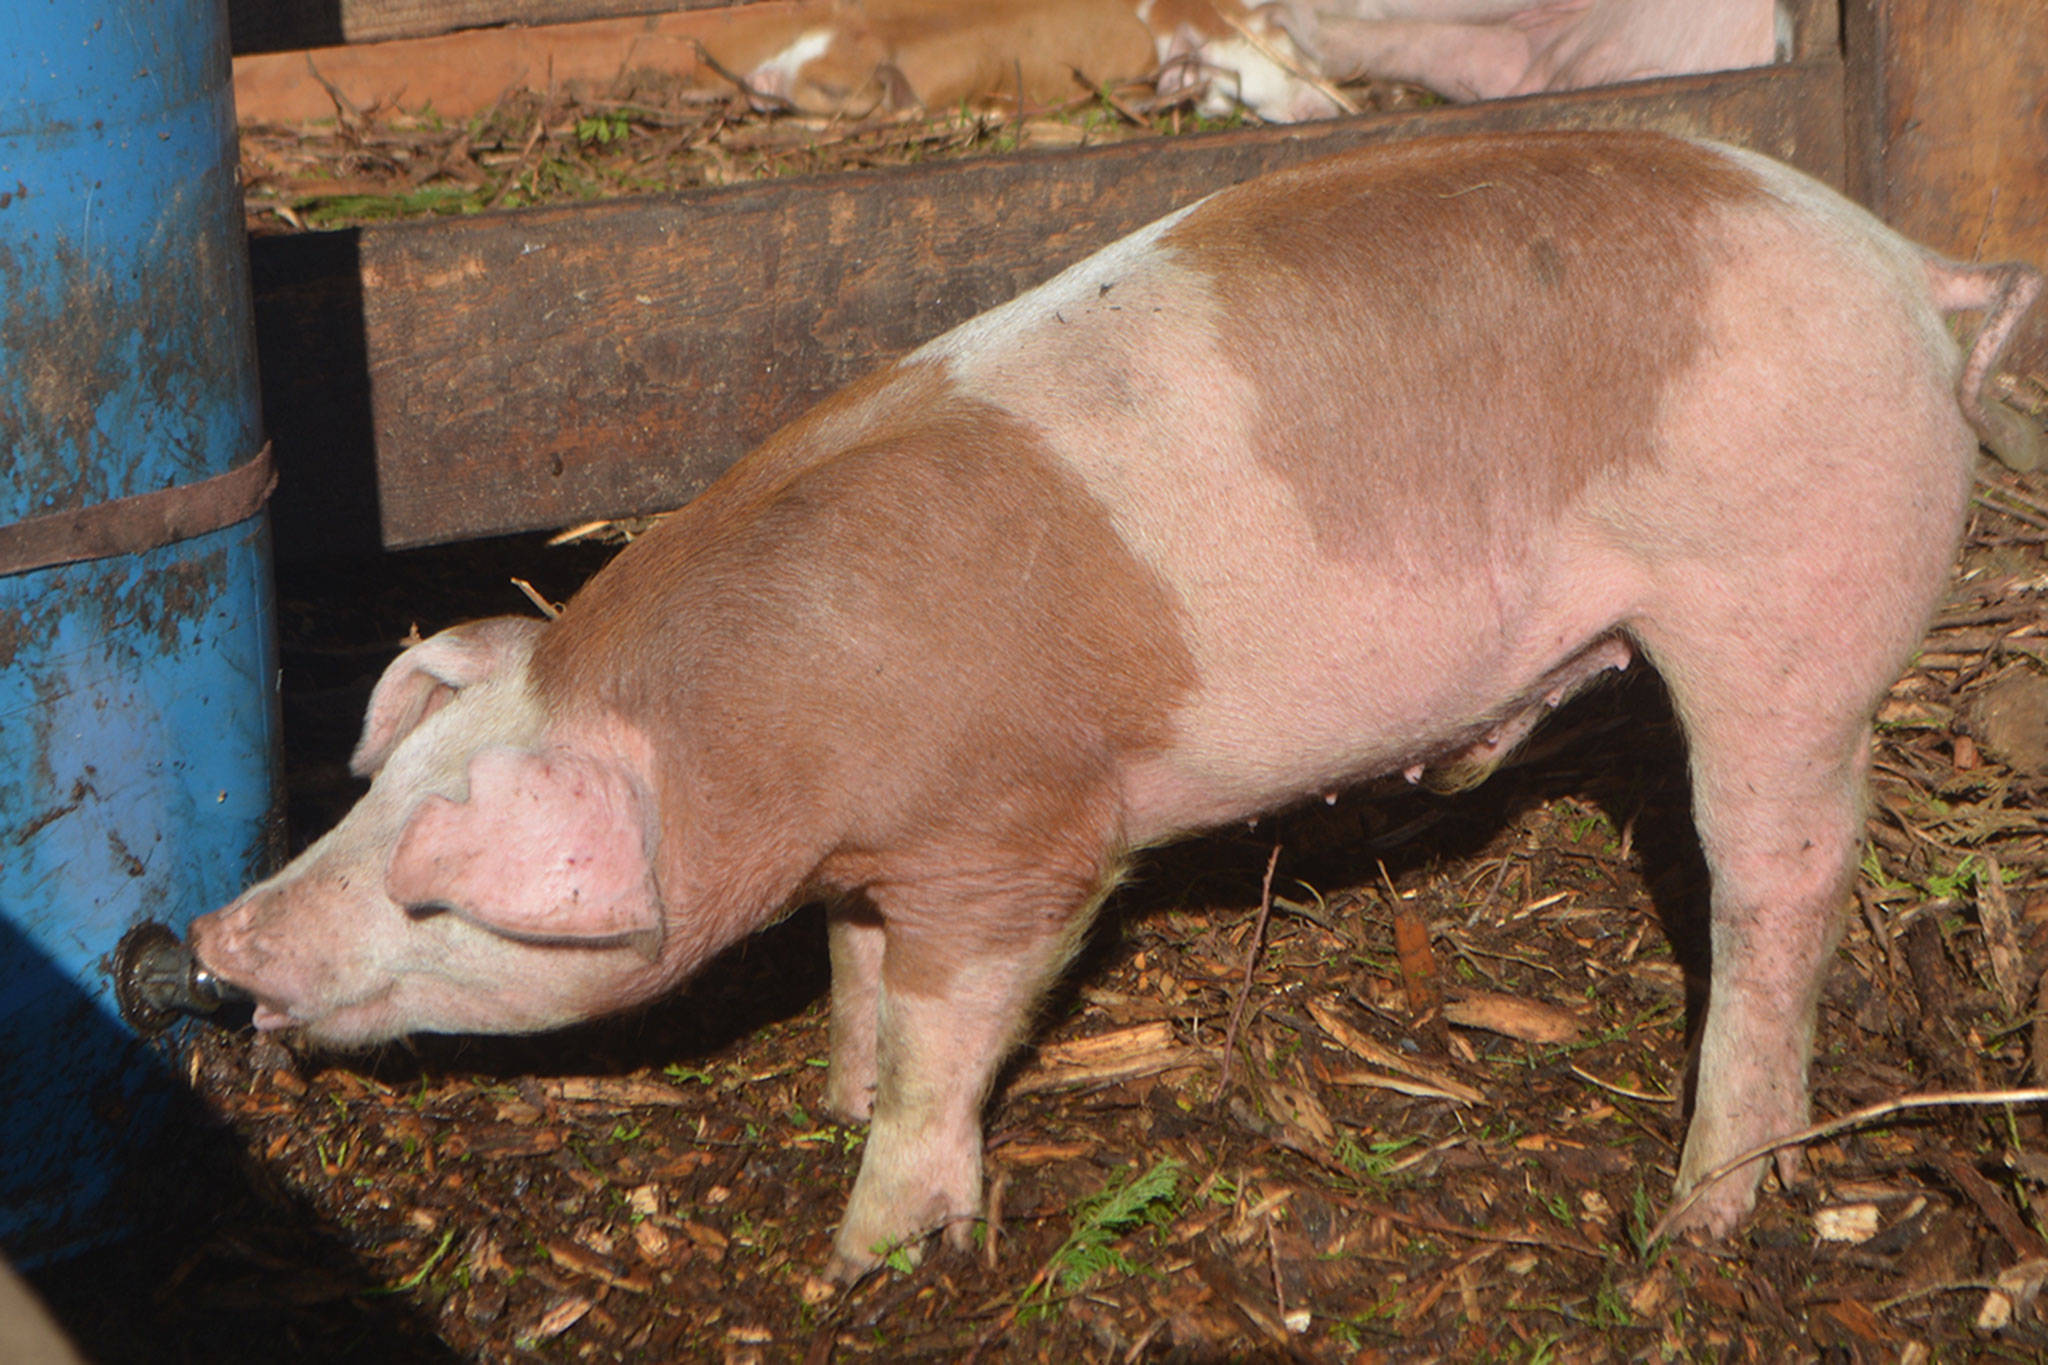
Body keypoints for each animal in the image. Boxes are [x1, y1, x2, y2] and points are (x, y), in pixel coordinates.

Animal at [191, 130, 2044, 1279]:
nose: (210, 940)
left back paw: (1699, 1220)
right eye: (369, 799)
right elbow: (860, 973)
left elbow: (952, 1029)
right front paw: (831, 1094)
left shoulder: (1025, 842)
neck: (781, 758)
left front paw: (868, 1250)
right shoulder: (879, 861)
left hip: (1785, 601)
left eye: (437, 897)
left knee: (1777, 872)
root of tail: (1906, 267)